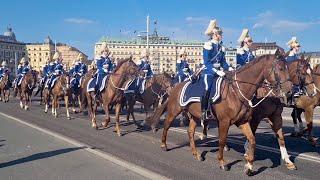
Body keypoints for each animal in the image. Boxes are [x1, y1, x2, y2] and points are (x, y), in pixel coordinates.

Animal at [145, 52, 292, 176]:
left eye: (288, 68)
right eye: (280, 68)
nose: (290, 91)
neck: (236, 91)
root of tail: (176, 86)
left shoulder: (243, 122)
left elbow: (252, 140)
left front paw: (249, 166)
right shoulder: (224, 122)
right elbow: (222, 140)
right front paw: (222, 162)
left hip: (195, 116)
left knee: (190, 132)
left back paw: (196, 154)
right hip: (174, 111)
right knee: (166, 125)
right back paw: (164, 145)